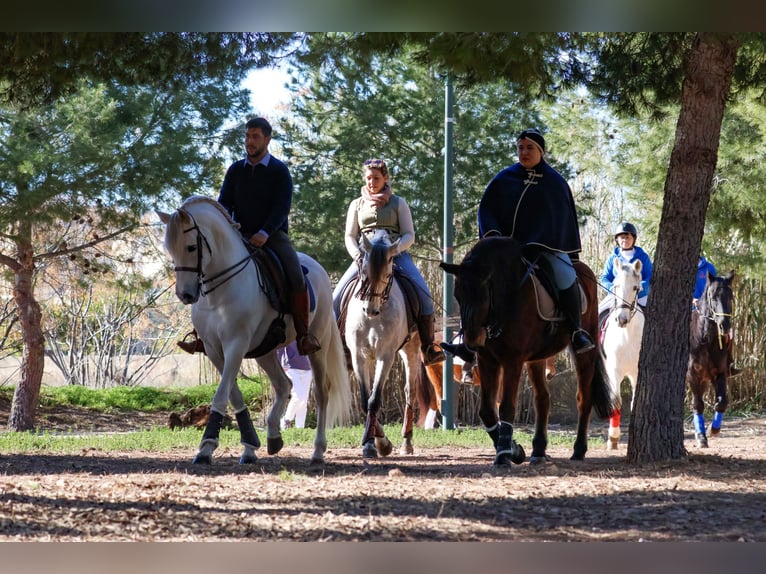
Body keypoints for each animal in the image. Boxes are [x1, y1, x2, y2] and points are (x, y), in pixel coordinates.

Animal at [157, 198, 354, 468]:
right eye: (170, 249)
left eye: (190, 247)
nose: (185, 295)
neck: (220, 290)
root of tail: (318, 268)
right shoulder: (214, 350)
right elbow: (234, 395)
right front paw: (249, 446)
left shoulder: (236, 345)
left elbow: (221, 396)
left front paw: (206, 447)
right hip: (265, 351)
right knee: (283, 385)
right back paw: (273, 436)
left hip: (317, 345)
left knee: (322, 393)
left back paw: (317, 451)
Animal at [346, 230, 424, 460]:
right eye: (363, 269)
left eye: (388, 271)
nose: (370, 309)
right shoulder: (359, 356)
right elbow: (366, 400)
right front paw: (372, 443)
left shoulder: (386, 356)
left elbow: (374, 399)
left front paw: (380, 444)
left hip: (411, 349)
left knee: (410, 391)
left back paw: (407, 442)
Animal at [440, 238, 616, 468]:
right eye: (457, 295)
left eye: (483, 295)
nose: (472, 341)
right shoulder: (488, 360)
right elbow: (487, 411)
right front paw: (515, 450)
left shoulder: (512, 361)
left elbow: (506, 407)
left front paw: (503, 454)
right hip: (537, 359)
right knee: (542, 398)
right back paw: (539, 450)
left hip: (584, 353)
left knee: (583, 399)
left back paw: (579, 449)